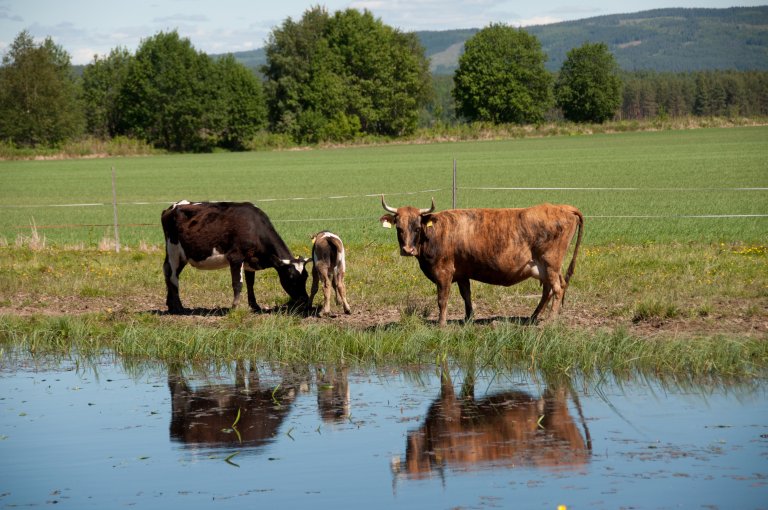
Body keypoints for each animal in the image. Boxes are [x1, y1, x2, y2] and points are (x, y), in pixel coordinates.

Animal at [161, 200, 308, 312]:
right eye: (291, 277)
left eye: (306, 276)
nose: (305, 300)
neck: (254, 228)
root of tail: (171, 207)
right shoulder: (236, 257)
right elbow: (238, 283)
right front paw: (235, 307)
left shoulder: (250, 260)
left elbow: (250, 283)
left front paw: (255, 306)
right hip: (173, 249)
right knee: (172, 275)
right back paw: (179, 307)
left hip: (182, 255)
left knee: (168, 272)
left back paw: (171, 305)